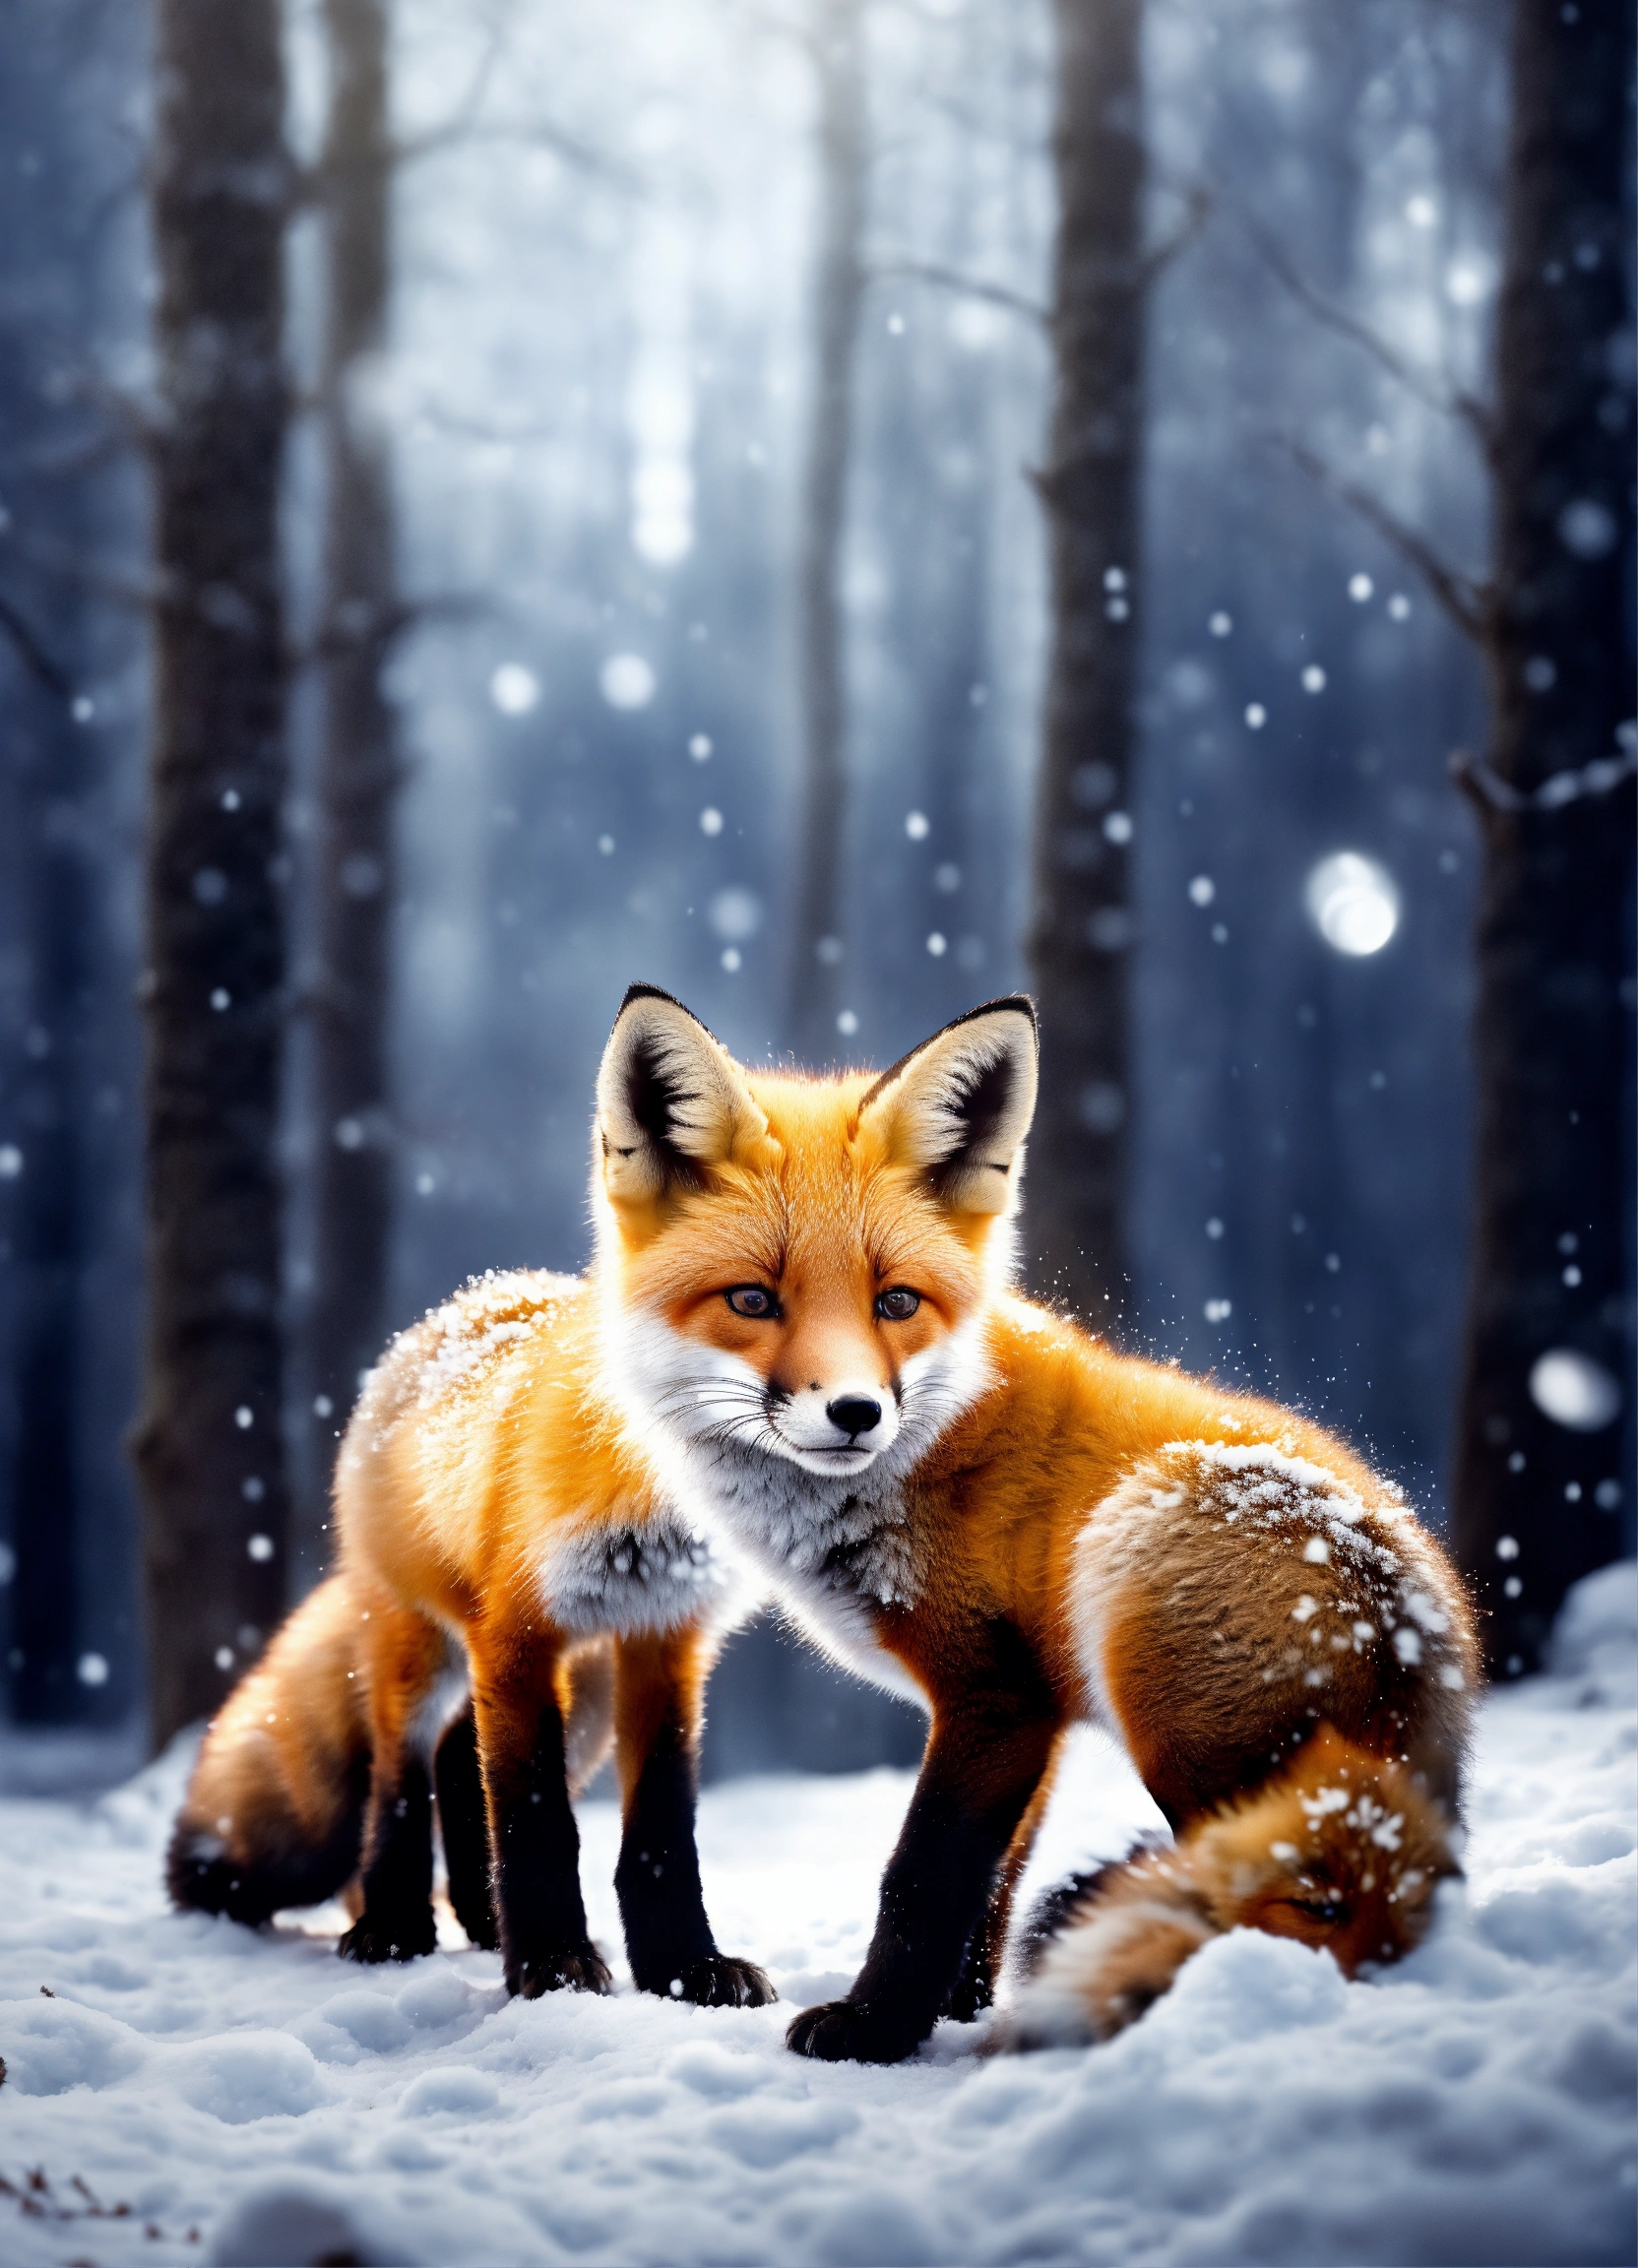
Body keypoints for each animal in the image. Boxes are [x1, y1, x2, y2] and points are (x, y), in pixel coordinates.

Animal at [170, 1267, 775, 2009]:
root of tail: (467, 1300)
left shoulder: (667, 1637)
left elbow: (661, 1831)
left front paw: (685, 1968)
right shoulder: (516, 1636)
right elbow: (537, 1822)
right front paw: (553, 1962)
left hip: (584, 1703)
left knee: (459, 1761)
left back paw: (484, 1922)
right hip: (426, 1653)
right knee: (399, 1777)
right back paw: (393, 1926)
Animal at [587, 984, 1479, 2063]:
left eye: (896, 1302)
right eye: (752, 1300)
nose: (856, 1412)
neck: (930, 1447)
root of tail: (1403, 1611)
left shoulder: (994, 1694)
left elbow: (923, 1879)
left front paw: (875, 2029)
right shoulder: (1036, 1718)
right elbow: (992, 1891)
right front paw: (958, 2008)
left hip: (1158, 1645)